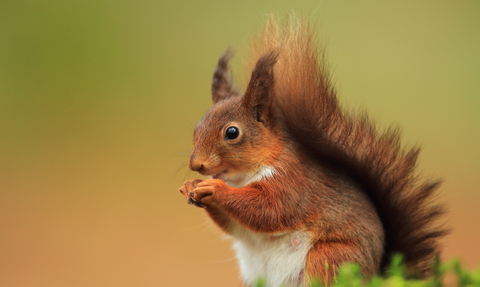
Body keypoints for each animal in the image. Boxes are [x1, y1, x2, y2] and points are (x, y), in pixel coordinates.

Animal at [178, 16, 448, 286]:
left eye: (232, 132)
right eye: (198, 127)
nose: (196, 165)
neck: (241, 178)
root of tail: (375, 274)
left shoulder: (292, 182)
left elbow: (268, 209)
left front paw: (215, 189)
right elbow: (232, 224)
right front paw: (191, 185)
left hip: (329, 256)